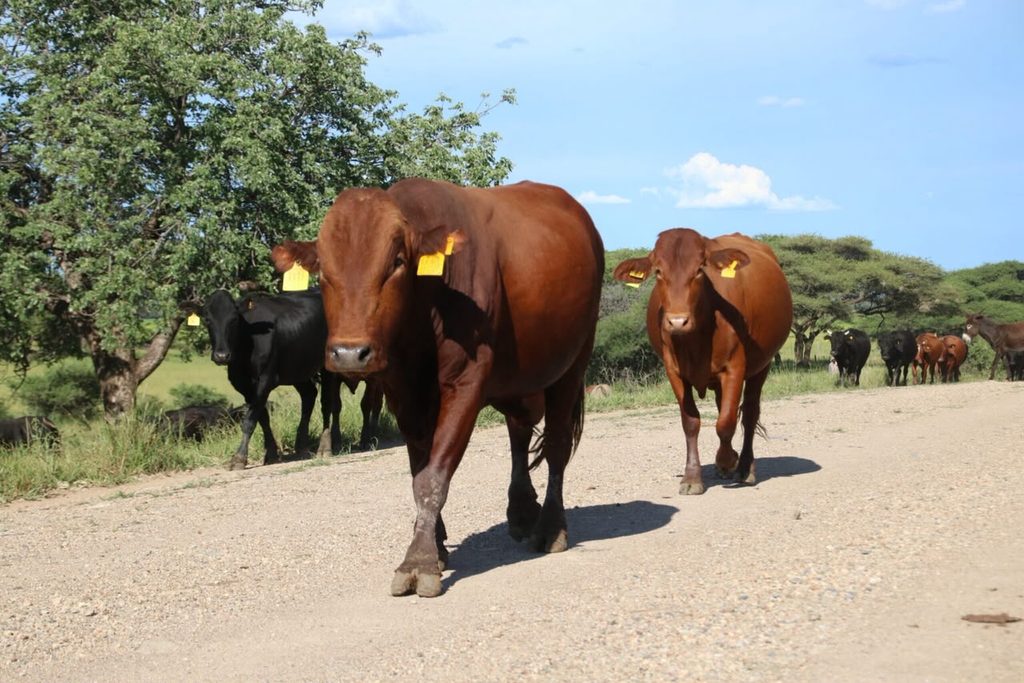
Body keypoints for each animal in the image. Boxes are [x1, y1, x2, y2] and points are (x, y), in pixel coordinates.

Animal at [202, 289, 383, 469]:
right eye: (207, 320)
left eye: (233, 319)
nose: (221, 356)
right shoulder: (243, 385)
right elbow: (262, 417)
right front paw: (271, 453)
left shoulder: (265, 380)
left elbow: (250, 420)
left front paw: (239, 458)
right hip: (298, 371)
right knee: (309, 396)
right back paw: (302, 446)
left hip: (327, 368)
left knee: (327, 404)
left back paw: (325, 447)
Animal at [271, 178, 604, 598]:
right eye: (323, 270)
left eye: (397, 263)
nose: (349, 353)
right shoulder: (403, 394)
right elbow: (420, 470)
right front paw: (437, 544)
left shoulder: (464, 383)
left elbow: (432, 477)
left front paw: (419, 561)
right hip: (520, 378)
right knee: (519, 431)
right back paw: (522, 512)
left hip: (572, 365)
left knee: (557, 446)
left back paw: (550, 528)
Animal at [612, 228, 792, 496]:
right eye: (658, 271)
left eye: (699, 269)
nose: (677, 321)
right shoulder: (674, 371)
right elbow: (691, 422)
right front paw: (692, 477)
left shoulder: (734, 368)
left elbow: (726, 422)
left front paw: (727, 460)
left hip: (763, 365)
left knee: (749, 413)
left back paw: (744, 467)